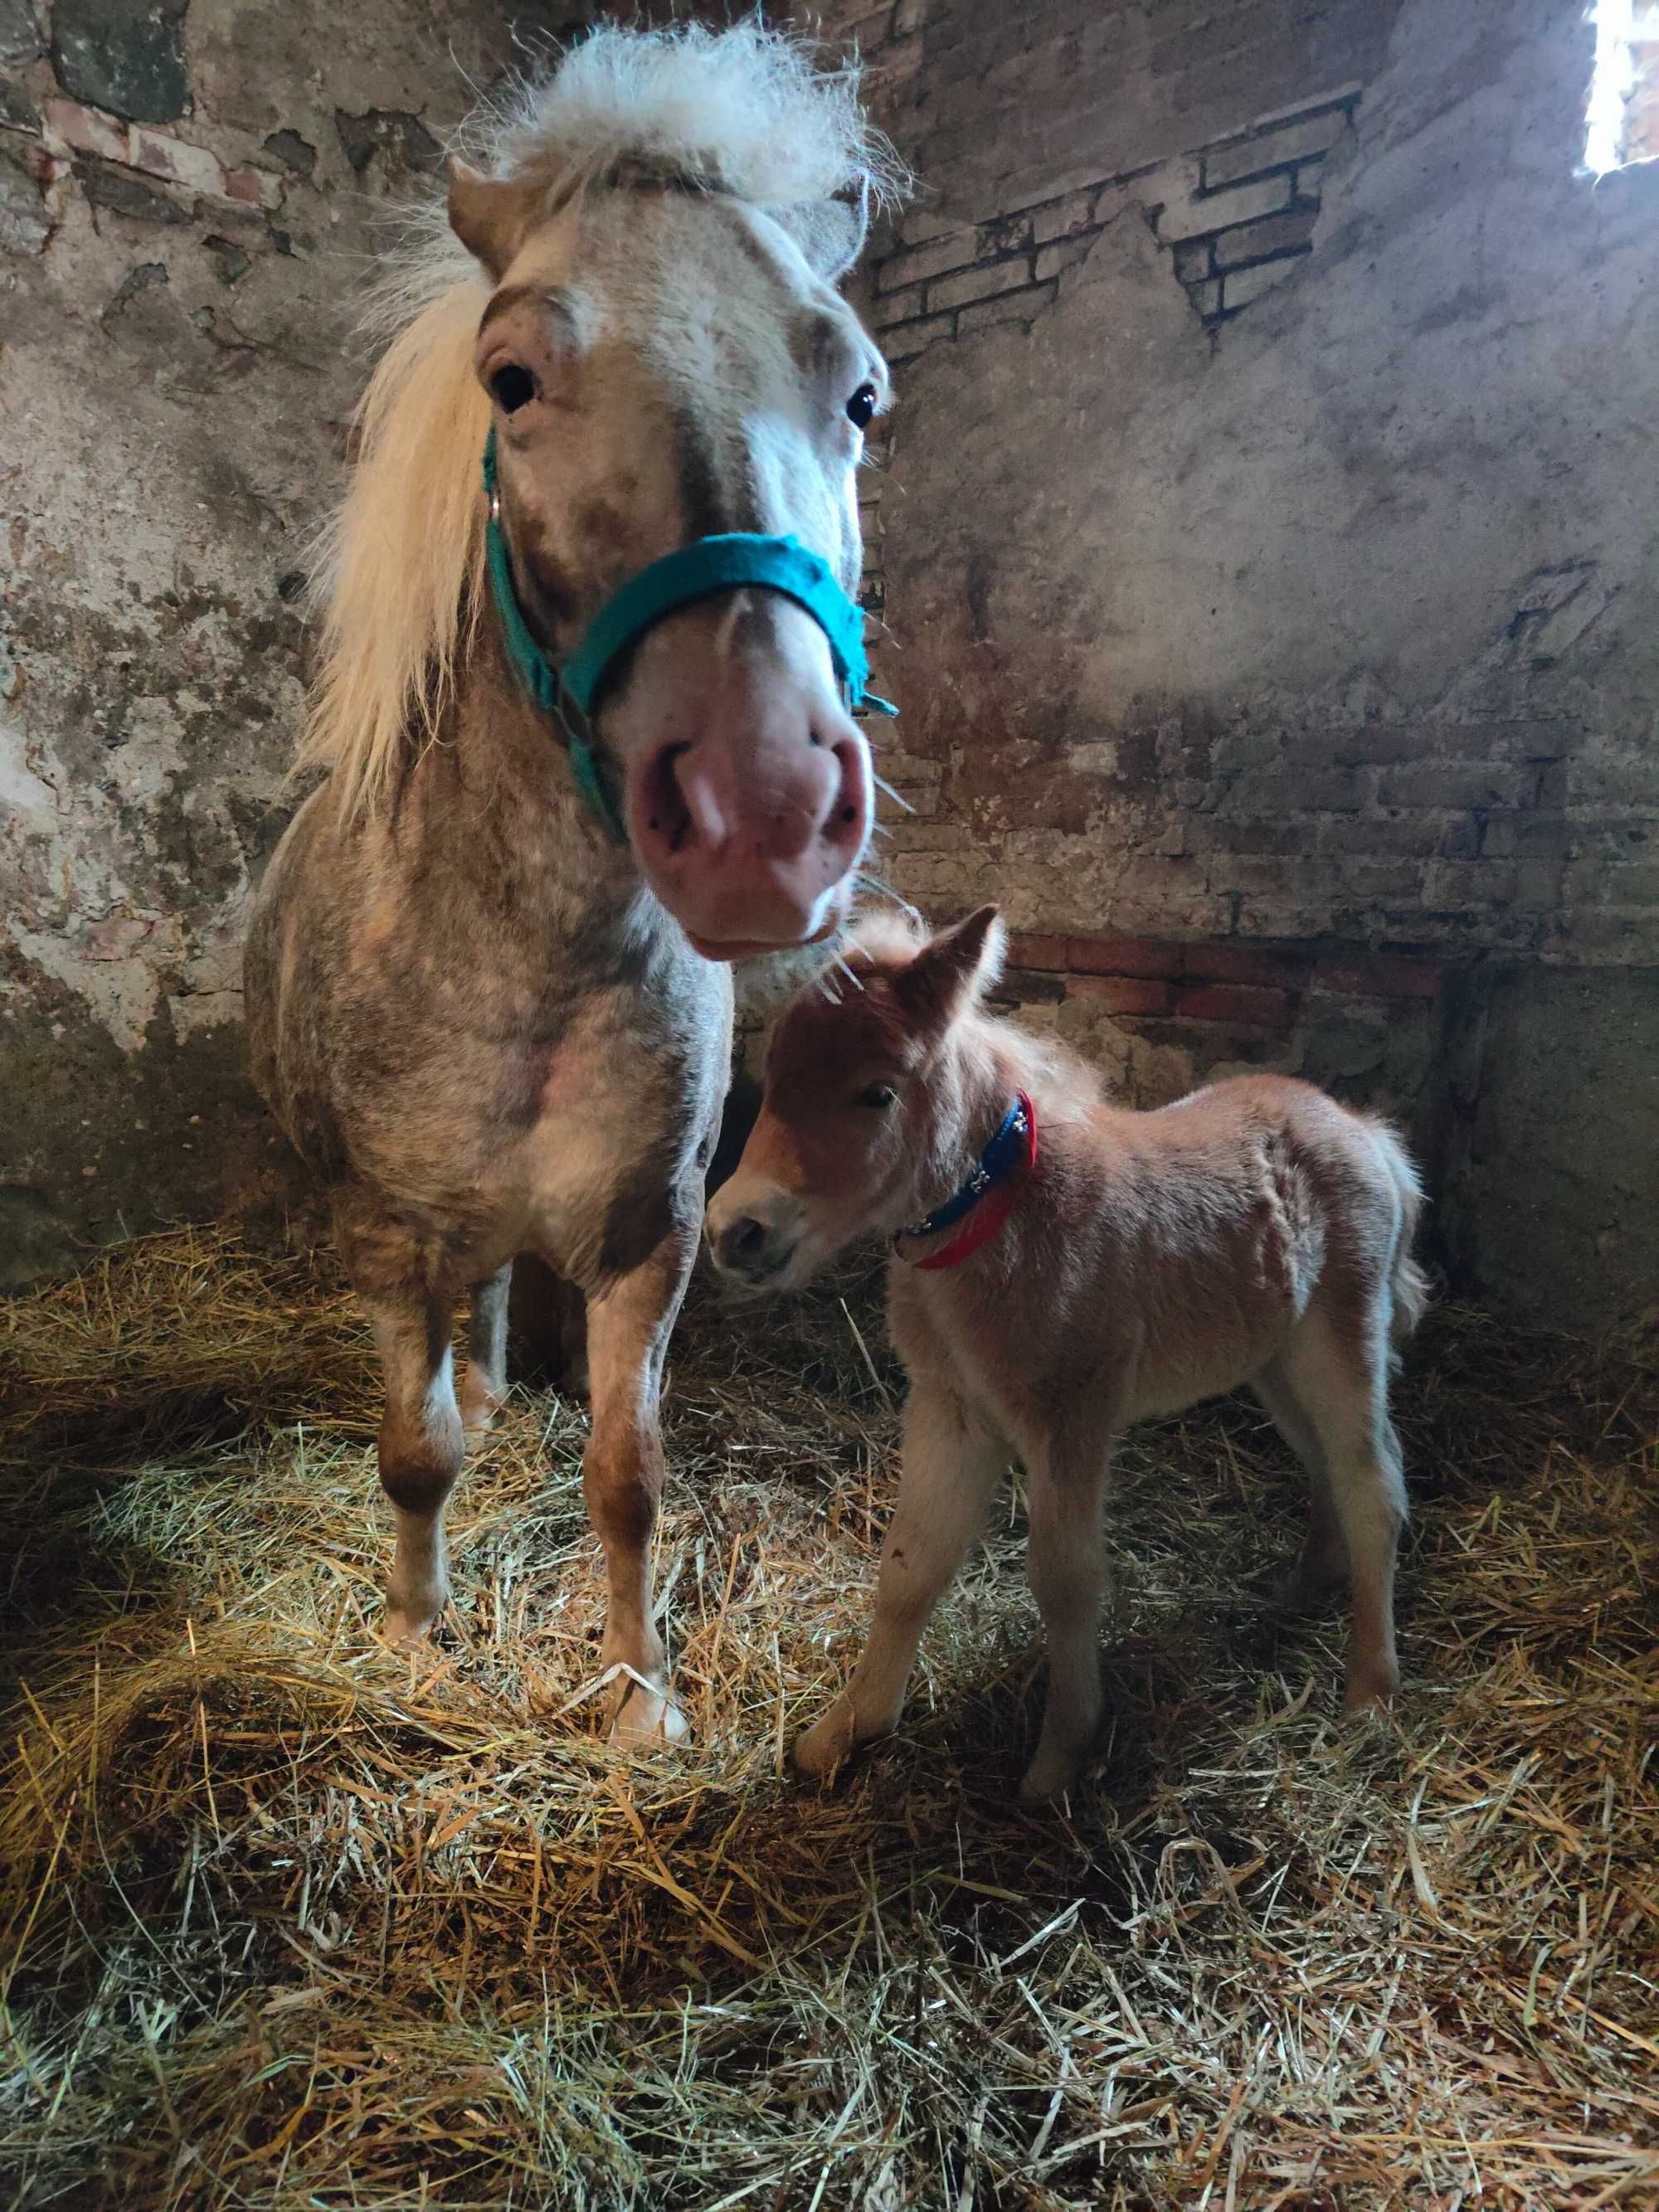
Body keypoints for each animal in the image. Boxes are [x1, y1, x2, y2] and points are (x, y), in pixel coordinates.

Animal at [242, 22, 902, 1743]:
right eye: (514, 379)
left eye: (861, 392)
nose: (761, 806)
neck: (531, 953)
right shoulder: (387, 1234)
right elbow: (413, 1452)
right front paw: (418, 1636)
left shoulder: (646, 1239)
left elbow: (629, 1472)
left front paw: (636, 1694)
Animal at [703, 907, 1433, 1805]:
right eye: (771, 1075)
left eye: (877, 1091)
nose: (736, 1231)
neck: (1001, 1223)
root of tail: (1368, 1133)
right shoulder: (949, 1407)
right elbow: (910, 1563)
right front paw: (845, 1729)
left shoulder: (1071, 1412)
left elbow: (1064, 1579)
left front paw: (1060, 1755)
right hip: (1273, 1359)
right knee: (1323, 1464)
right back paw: (1299, 1594)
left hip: (1341, 1338)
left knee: (1374, 1483)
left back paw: (1370, 1690)